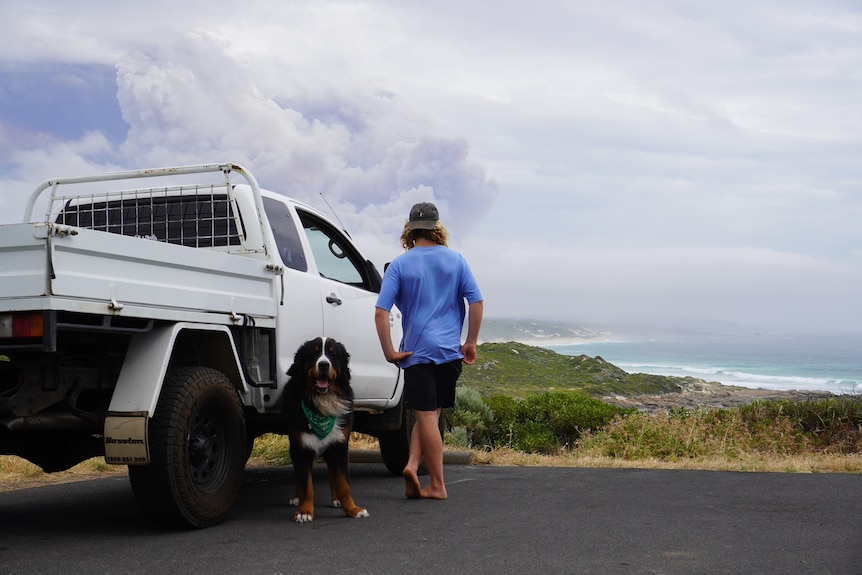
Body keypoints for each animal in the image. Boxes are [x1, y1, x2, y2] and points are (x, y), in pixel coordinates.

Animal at [282, 336, 366, 524]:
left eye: (332, 355)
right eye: (313, 354)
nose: (323, 364)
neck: (322, 402)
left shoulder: (339, 446)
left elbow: (343, 483)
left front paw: (352, 509)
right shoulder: (301, 448)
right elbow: (306, 485)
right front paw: (304, 511)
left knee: (332, 473)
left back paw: (336, 499)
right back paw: (297, 498)